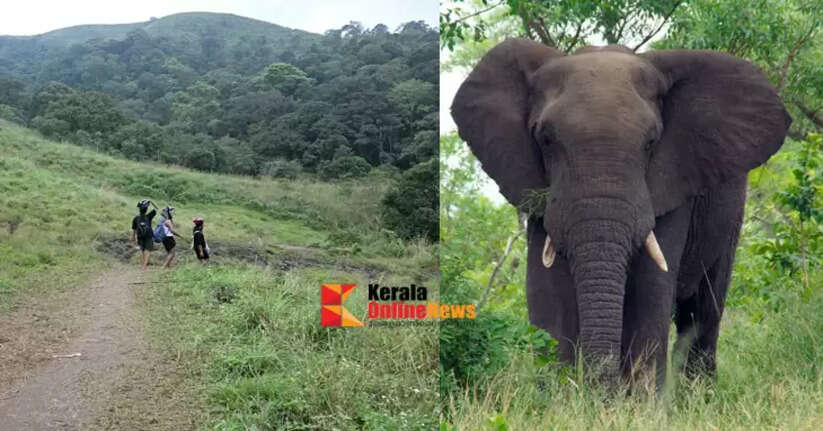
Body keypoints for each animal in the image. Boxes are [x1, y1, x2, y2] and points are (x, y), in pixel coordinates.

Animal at [451, 38, 791, 386]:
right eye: (545, 140)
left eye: (651, 142)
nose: (598, 386)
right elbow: (547, 291)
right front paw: (562, 395)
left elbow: (650, 288)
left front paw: (640, 400)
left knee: (704, 308)